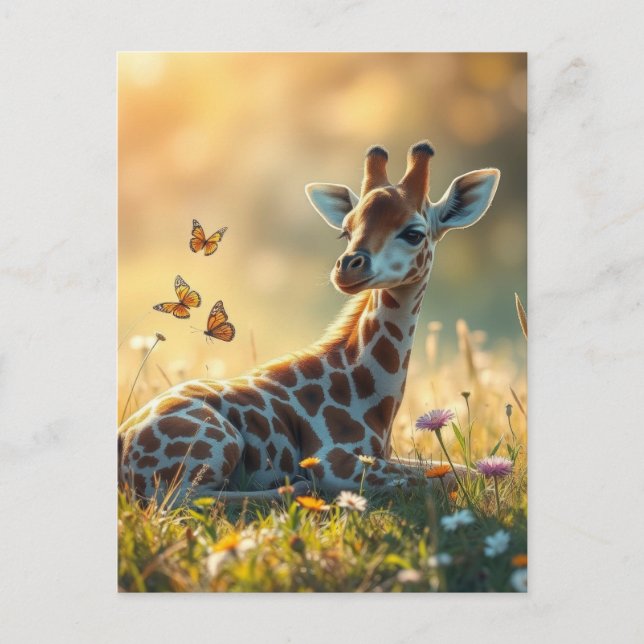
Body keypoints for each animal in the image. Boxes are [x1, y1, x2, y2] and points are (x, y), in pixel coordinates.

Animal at [118, 140, 500, 504]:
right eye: (346, 230)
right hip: (211, 447)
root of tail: (123, 442)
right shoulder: (336, 465)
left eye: (414, 233)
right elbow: (455, 478)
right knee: (179, 501)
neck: (371, 391)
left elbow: (462, 470)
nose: (347, 268)